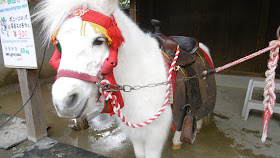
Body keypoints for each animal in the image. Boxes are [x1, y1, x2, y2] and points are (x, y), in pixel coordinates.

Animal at [33, 0, 210, 157]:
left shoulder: (154, 136)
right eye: (59, 43)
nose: (64, 102)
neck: (142, 82)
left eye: (99, 41)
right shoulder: (135, 133)